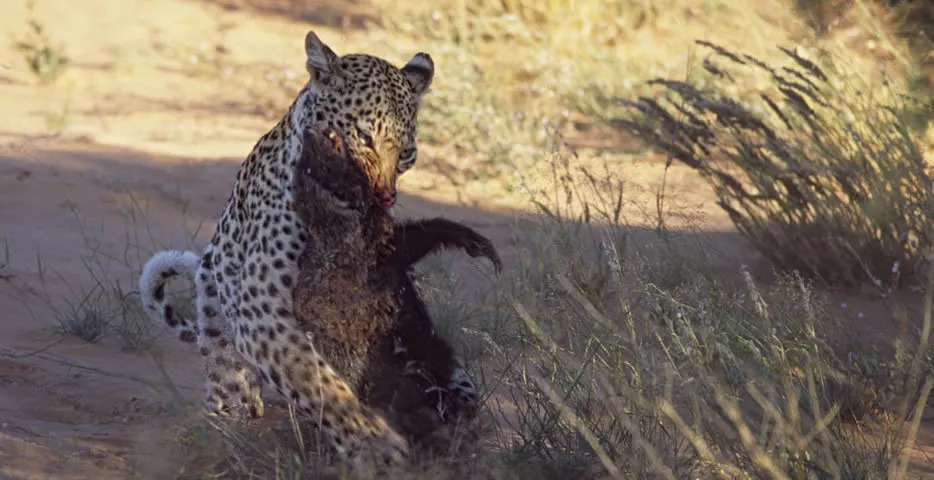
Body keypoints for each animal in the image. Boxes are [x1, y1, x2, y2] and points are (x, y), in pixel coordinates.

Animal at [136, 31, 478, 472]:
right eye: (363, 137)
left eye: (406, 153)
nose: (383, 197)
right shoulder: (261, 309)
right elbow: (313, 376)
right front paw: (374, 446)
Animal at [292, 125, 500, 448]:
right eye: (315, 168)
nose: (311, 131)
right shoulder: (378, 250)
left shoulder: (387, 255)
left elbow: (424, 233)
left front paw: (475, 243)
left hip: (434, 358)